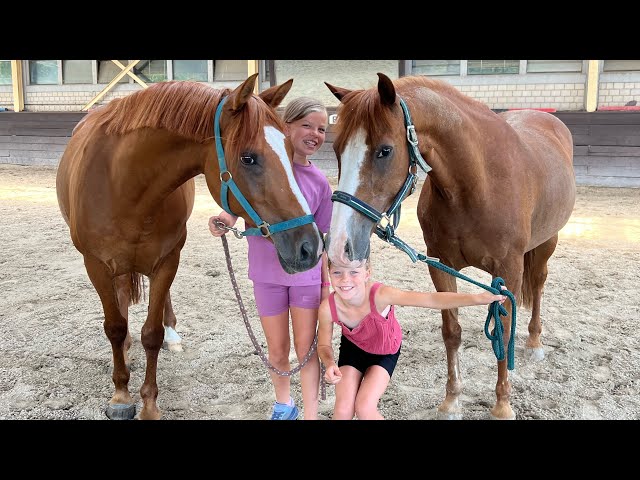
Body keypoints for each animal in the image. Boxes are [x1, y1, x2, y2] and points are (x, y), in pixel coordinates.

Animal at [56, 74, 324, 420]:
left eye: (291, 150)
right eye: (248, 158)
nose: (310, 247)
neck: (124, 184)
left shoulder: (167, 260)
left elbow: (151, 333)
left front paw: (149, 405)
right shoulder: (96, 265)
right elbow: (114, 327)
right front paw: (121, 395)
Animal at [324, 73, 576, 420]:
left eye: (384, 151)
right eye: (336, 149)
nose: (339, 245)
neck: (478, 184)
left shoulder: (508, 270)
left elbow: (504, 328)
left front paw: (502, 404)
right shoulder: (441, 264)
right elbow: (451, 331)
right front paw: (452, 400)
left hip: (547, 242)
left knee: (537, 285)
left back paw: (535, 342)